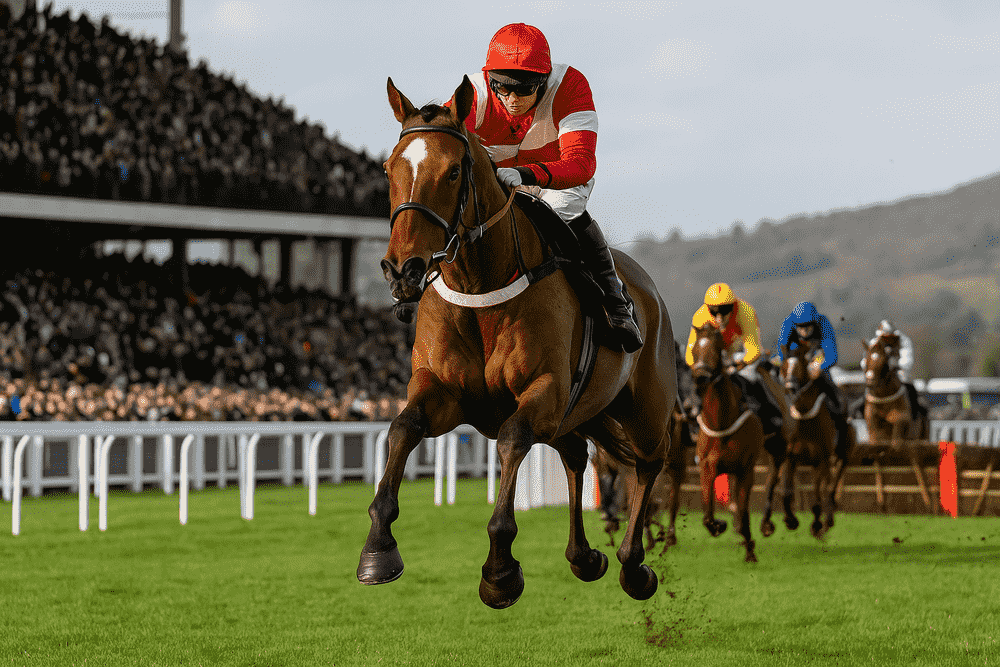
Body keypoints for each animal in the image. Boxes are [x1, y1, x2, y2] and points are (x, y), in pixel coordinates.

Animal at [358, 77, 678, 608]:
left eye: (452, 172)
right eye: (389, 168)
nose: (402, 270)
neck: (480, 289)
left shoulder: (542, 391)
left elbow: (511, 440)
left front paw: (500, 570)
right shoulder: (444, 393)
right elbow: (402, 429)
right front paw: (378, 548)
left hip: (643, 409)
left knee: (648, 464)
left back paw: (634, 565)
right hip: (579, 412)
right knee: (576, 456)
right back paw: (583, 556)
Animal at [689, 323, 764, 563]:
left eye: (716, 349)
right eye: (694, 350)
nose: (700, 379)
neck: (721, 422)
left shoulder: (746, 468)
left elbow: (743, 511)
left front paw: (749, 549)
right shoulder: (707, 467)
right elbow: (707, 512)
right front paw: (718, 525)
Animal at [778, 340, 855, 539]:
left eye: (800, 366)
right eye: (784, 367)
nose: (790, 387)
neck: (806, 418)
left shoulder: (821, 459)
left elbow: (817, 495)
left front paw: (817, 525)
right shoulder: (791, 457)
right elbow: (786, 492)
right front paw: (791, 520)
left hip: (843, 454)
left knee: (831, 487)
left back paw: (827, 521)